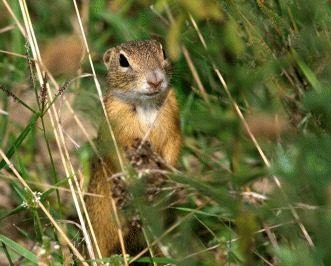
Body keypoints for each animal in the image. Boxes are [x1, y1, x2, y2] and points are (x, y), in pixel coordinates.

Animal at [85, 39, 182, 258]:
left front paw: (165, 175)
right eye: (123, 61)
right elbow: (117, 154)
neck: (145, 104)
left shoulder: (173, 122)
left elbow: (173, 145)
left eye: (163, 51)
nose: (155, 80)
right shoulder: (115, 128)